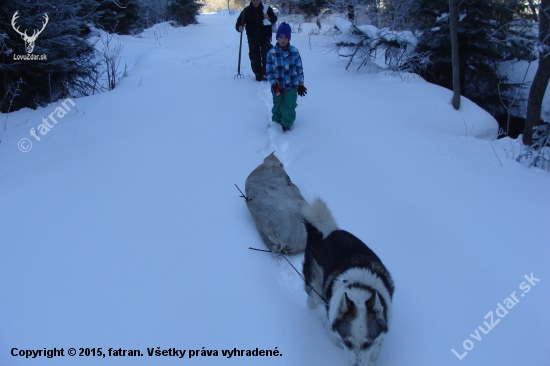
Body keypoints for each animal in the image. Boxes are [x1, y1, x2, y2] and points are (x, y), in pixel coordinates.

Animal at [302, 200, 396, 366]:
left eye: (367, 343)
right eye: (348, 343)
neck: (359, 287)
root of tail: (318, 234)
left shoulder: (379, 336)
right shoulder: (334, 329)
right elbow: (335, 340)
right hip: (317, 290)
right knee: (311, 297)